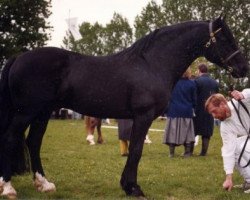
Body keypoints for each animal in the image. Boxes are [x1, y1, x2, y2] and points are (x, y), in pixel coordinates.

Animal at [0, 16, 248, 198]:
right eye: (225, 39)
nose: (243, 68)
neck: (151, 64)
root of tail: (17, 58)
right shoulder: (143, 116)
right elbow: (136, 150)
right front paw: (133, 188)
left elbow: (135, 150)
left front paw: (128, 186)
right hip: (27, 112)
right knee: (11, 137)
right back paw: (9, 188)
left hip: (41, 113)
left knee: (33, 142)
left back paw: (44, 184)